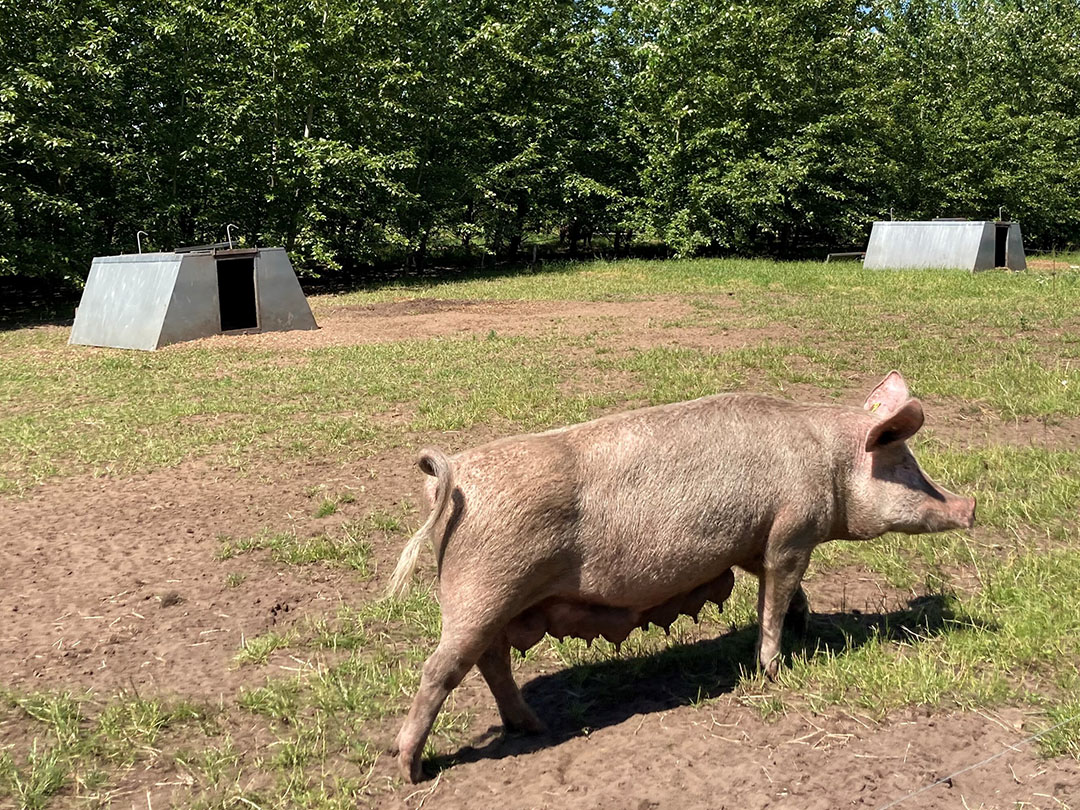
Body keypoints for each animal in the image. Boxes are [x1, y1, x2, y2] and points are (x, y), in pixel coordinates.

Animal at [384, 371, 976, 781]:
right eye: (904, 465)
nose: (970, 507)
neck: (828, 463)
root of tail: (451, 476)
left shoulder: (755, 543)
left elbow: (788, 595)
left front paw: (808, 627)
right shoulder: (790, 533)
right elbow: (776, 596)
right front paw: (774, 670)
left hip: (496, 604)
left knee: (490, 662)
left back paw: (530, 727)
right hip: (483, 591)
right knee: (441, 669)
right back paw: (410, 770)